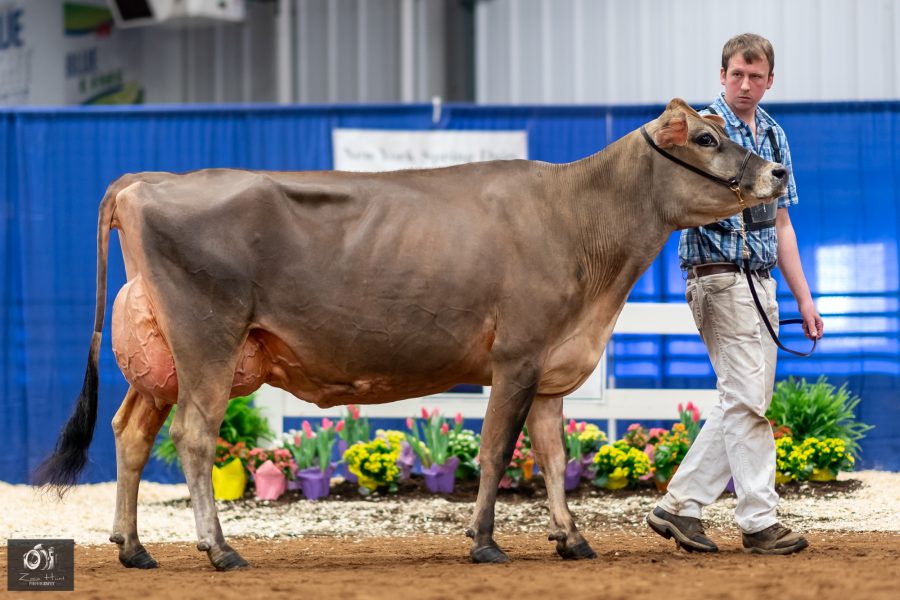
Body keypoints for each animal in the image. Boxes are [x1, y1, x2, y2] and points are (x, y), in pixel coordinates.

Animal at [35, 98, 787, 571]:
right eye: (707, 140)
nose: (777, 171)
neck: (580, 223)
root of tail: (145, 182)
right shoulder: (516, 357)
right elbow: (496, 453)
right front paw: (483, 541)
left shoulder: (552, 367)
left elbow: (549, 454)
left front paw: (570, 538)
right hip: (207, 344)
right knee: (193, 437)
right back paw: (219, 550)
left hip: (161, 359)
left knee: (131, 433)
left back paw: (133, 547)